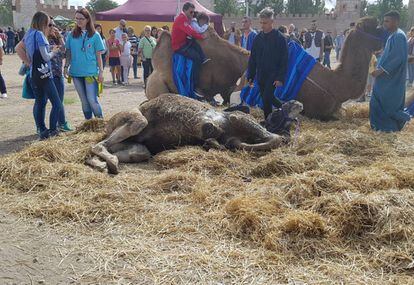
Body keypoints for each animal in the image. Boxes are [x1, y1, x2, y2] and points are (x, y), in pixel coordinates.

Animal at [89, 94, 302, 173]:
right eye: (279, 109)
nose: (299, 104)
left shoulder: (233, 134)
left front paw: (212, 141)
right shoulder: (237, 119)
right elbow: (275, 139)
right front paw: (211, 138)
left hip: (139, 148)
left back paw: (102, 164)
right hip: (138, 121)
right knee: (97, 145)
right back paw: (109, 163)